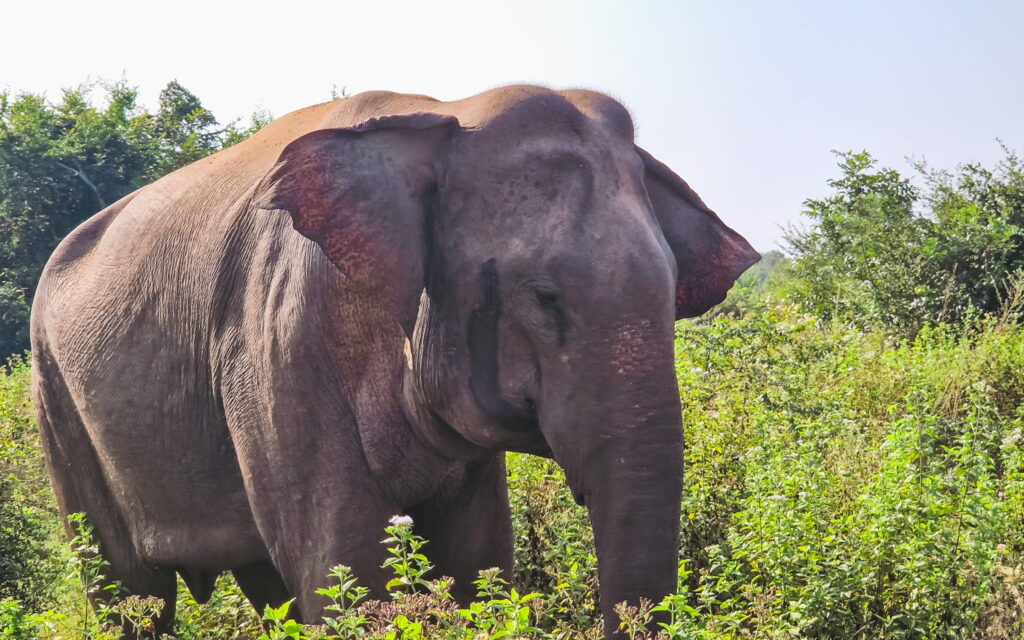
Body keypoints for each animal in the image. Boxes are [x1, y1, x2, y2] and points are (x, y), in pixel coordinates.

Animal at [30, 85, 758, 638]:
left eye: (672, 292)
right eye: (543, 297)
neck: (444, 112)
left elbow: (474, 563)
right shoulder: (281, 342)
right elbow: (344, 568)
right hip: (56, 398)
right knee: (127, 591)